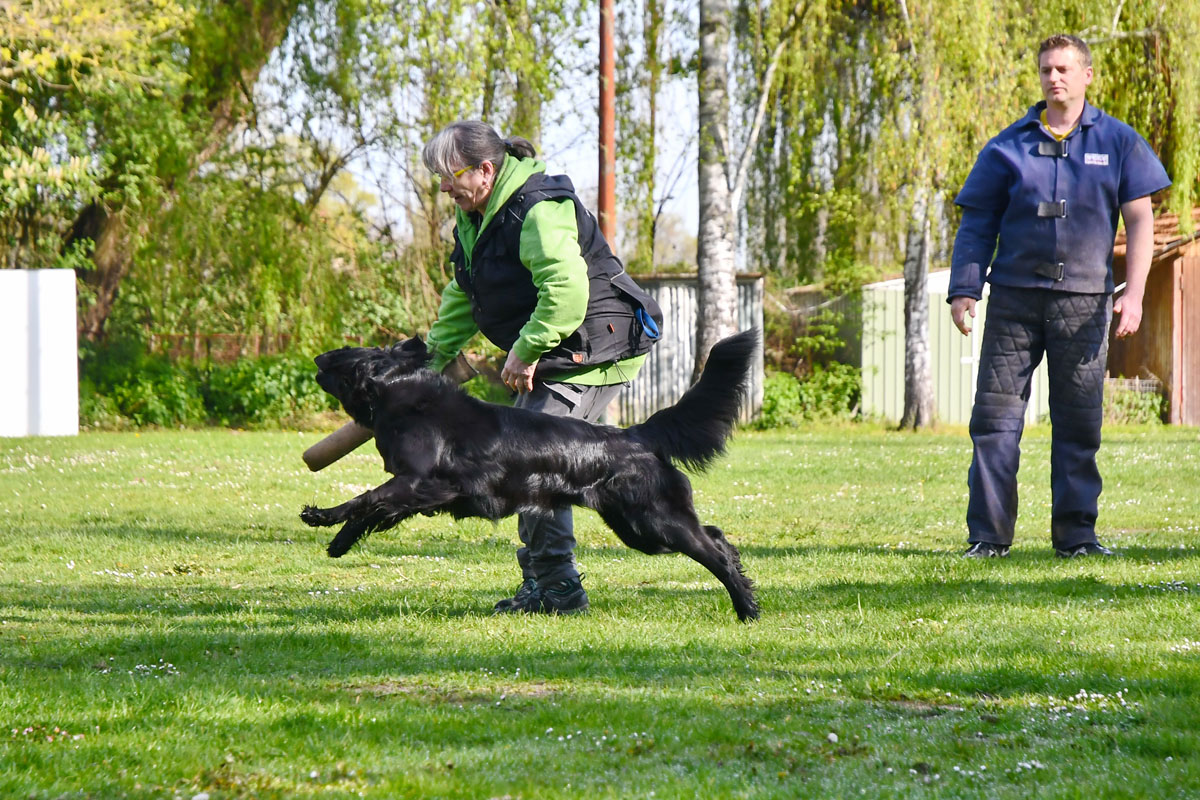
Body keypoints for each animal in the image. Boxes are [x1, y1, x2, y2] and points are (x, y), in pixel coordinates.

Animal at [302, 328, 758, 623]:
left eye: (342, 351)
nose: (316, 357)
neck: (401, 394)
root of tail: (636, 433)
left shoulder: (420, 482)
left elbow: (365, 499)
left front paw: (320, 516)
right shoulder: (416, 491)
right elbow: (371, 510)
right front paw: (340, 542)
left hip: (654, 521)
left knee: (713, 552)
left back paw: (747, 609)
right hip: (639, 530)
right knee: (716, 536)